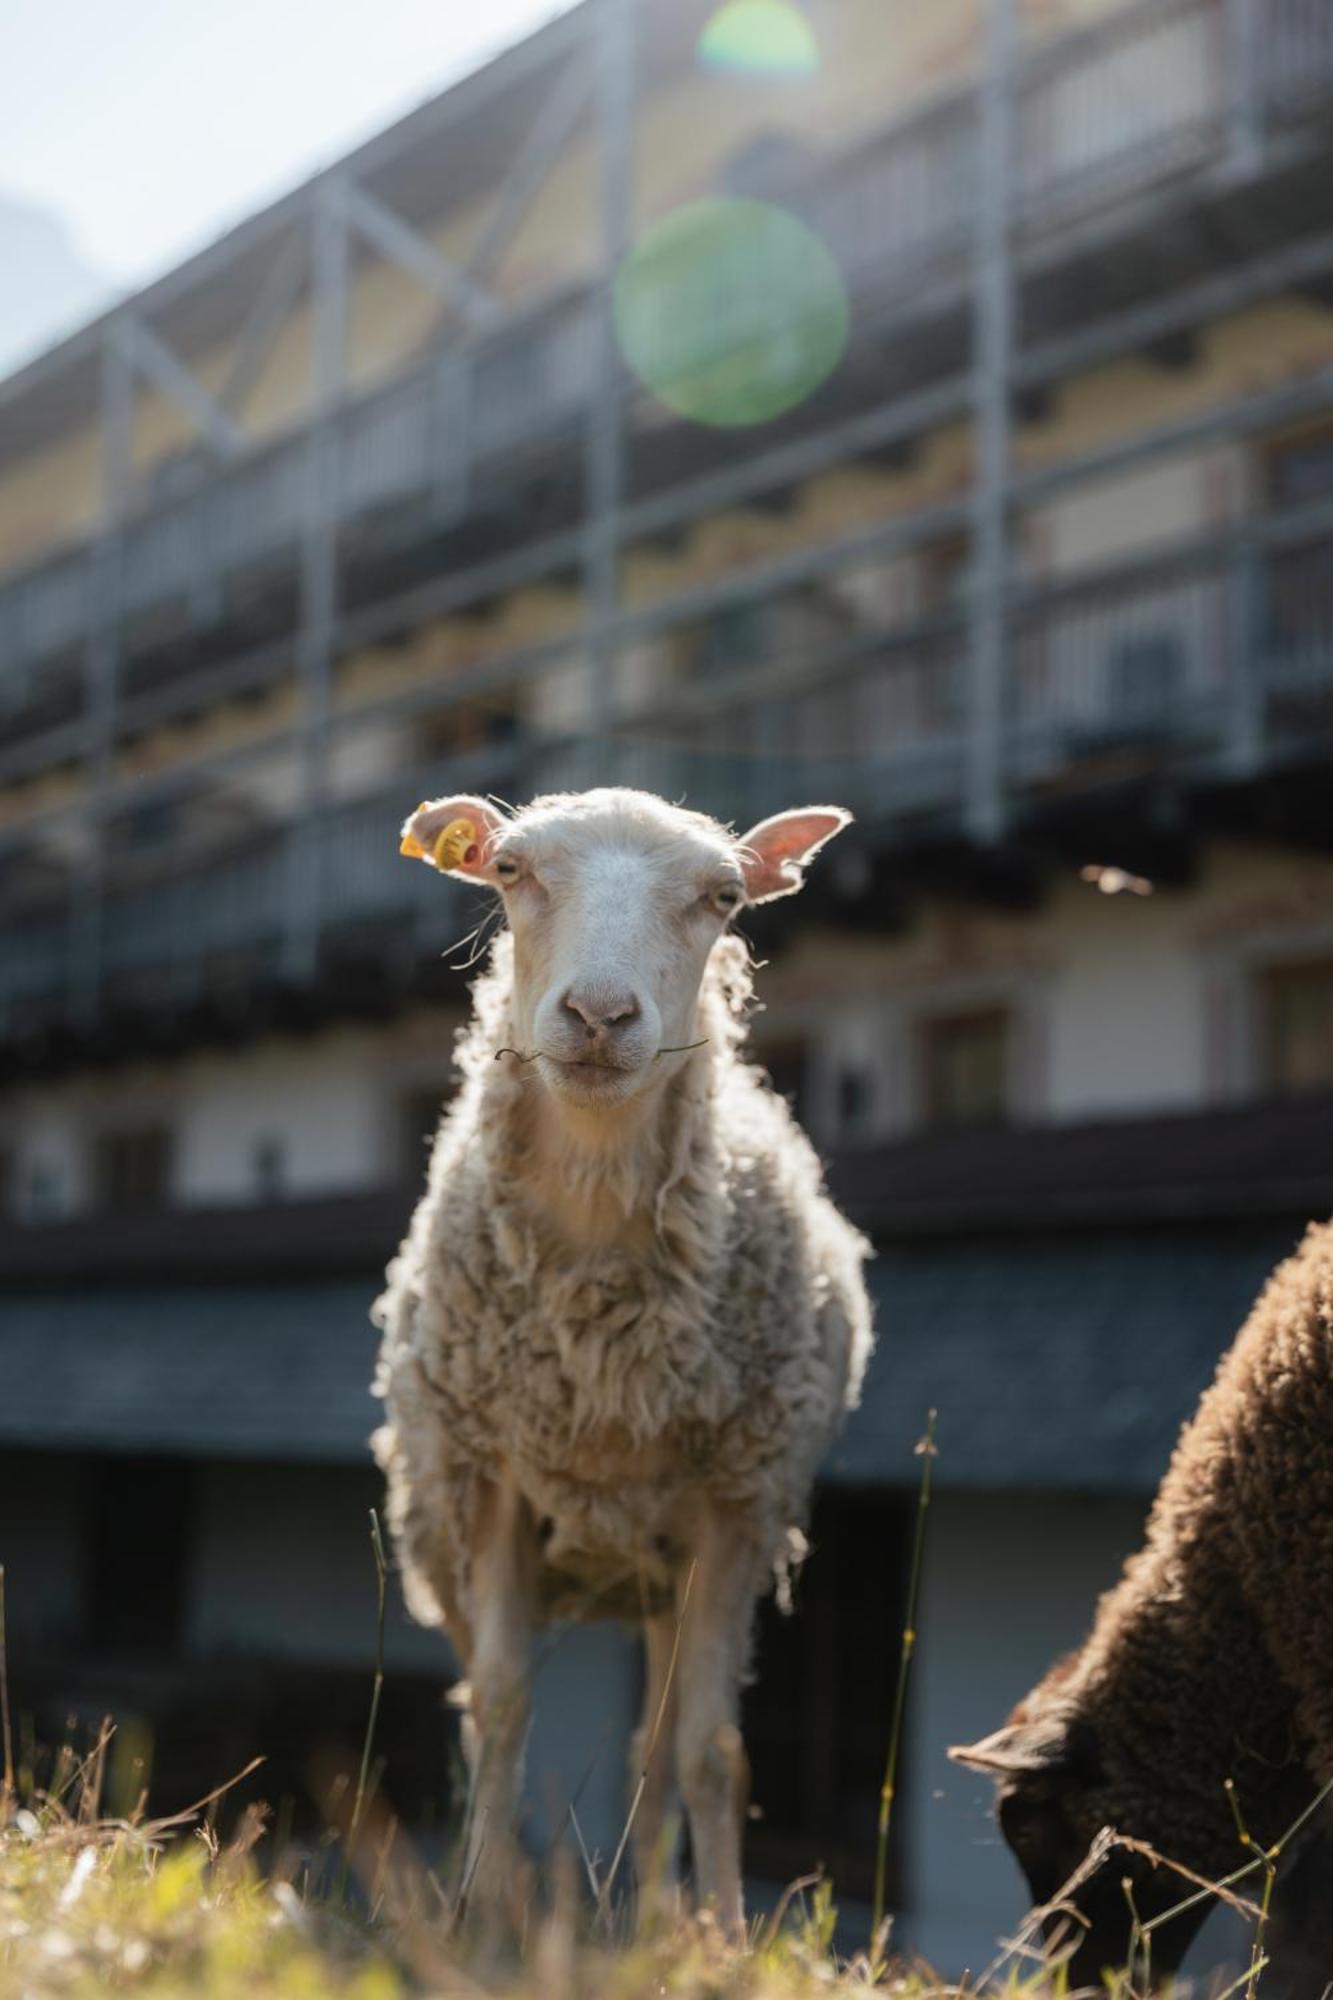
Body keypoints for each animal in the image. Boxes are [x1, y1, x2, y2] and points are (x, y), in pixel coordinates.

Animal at [370, 788, 872, 1928]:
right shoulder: (497, 1484)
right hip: (439, 1519)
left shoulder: (736, 1507)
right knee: (480, 1703)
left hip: (658, 1566)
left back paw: (645, 1919)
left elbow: (711, 1750)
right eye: (508, 870)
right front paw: (482, 1916)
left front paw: (719, 1932)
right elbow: (505, 1704)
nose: (599, 1017)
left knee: (656, 1745)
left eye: (724, 896)